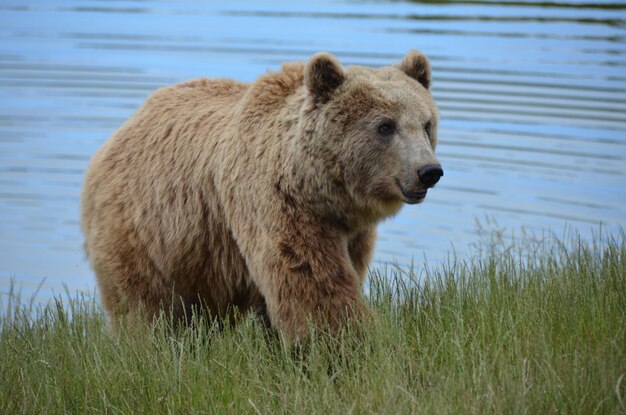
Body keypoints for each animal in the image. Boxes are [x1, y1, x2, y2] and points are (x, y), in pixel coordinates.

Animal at [80, 50, 442, 340]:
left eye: (426, 124)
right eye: (385, 126)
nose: (429, 171)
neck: (318, 188)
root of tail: (120, 132)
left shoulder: (352, 232)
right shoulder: (276, 204)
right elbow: (313, 283)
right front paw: (346, 340)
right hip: (142, 229)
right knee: (144, 306)